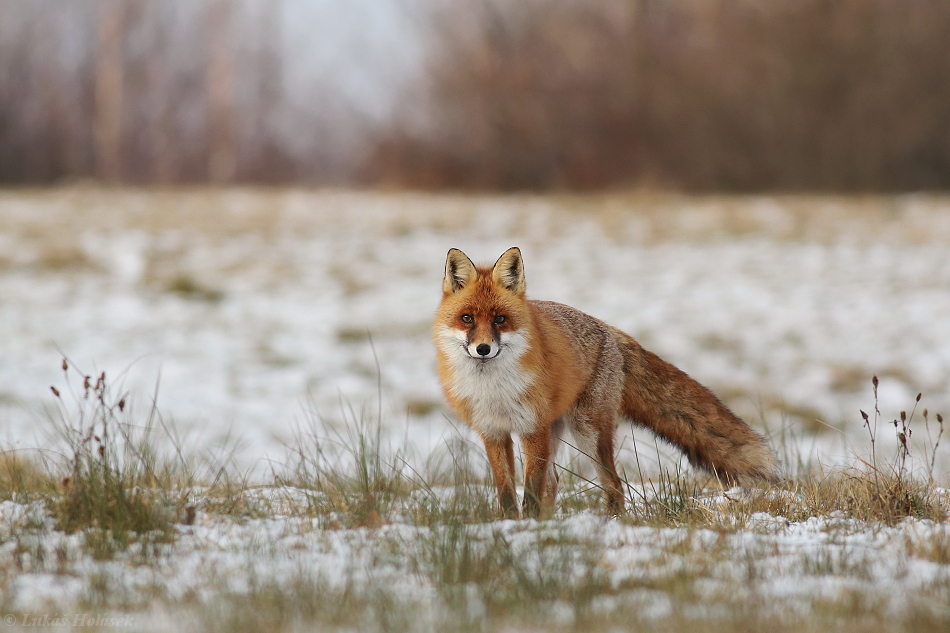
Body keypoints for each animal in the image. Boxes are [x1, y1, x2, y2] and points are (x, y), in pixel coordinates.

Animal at [436, 244, 776, 516]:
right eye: (467, 318)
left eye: (500, 320)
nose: (483, 349)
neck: (494, 390)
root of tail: (609, 329)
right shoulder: (493, 432)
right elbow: (506, 491)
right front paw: (510, 525)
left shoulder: (533, 429)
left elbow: (530, 490)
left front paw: (527, 528)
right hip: (561, 430)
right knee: (555, 482)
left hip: (588, 430)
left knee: (613, 485)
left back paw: (609, 522)